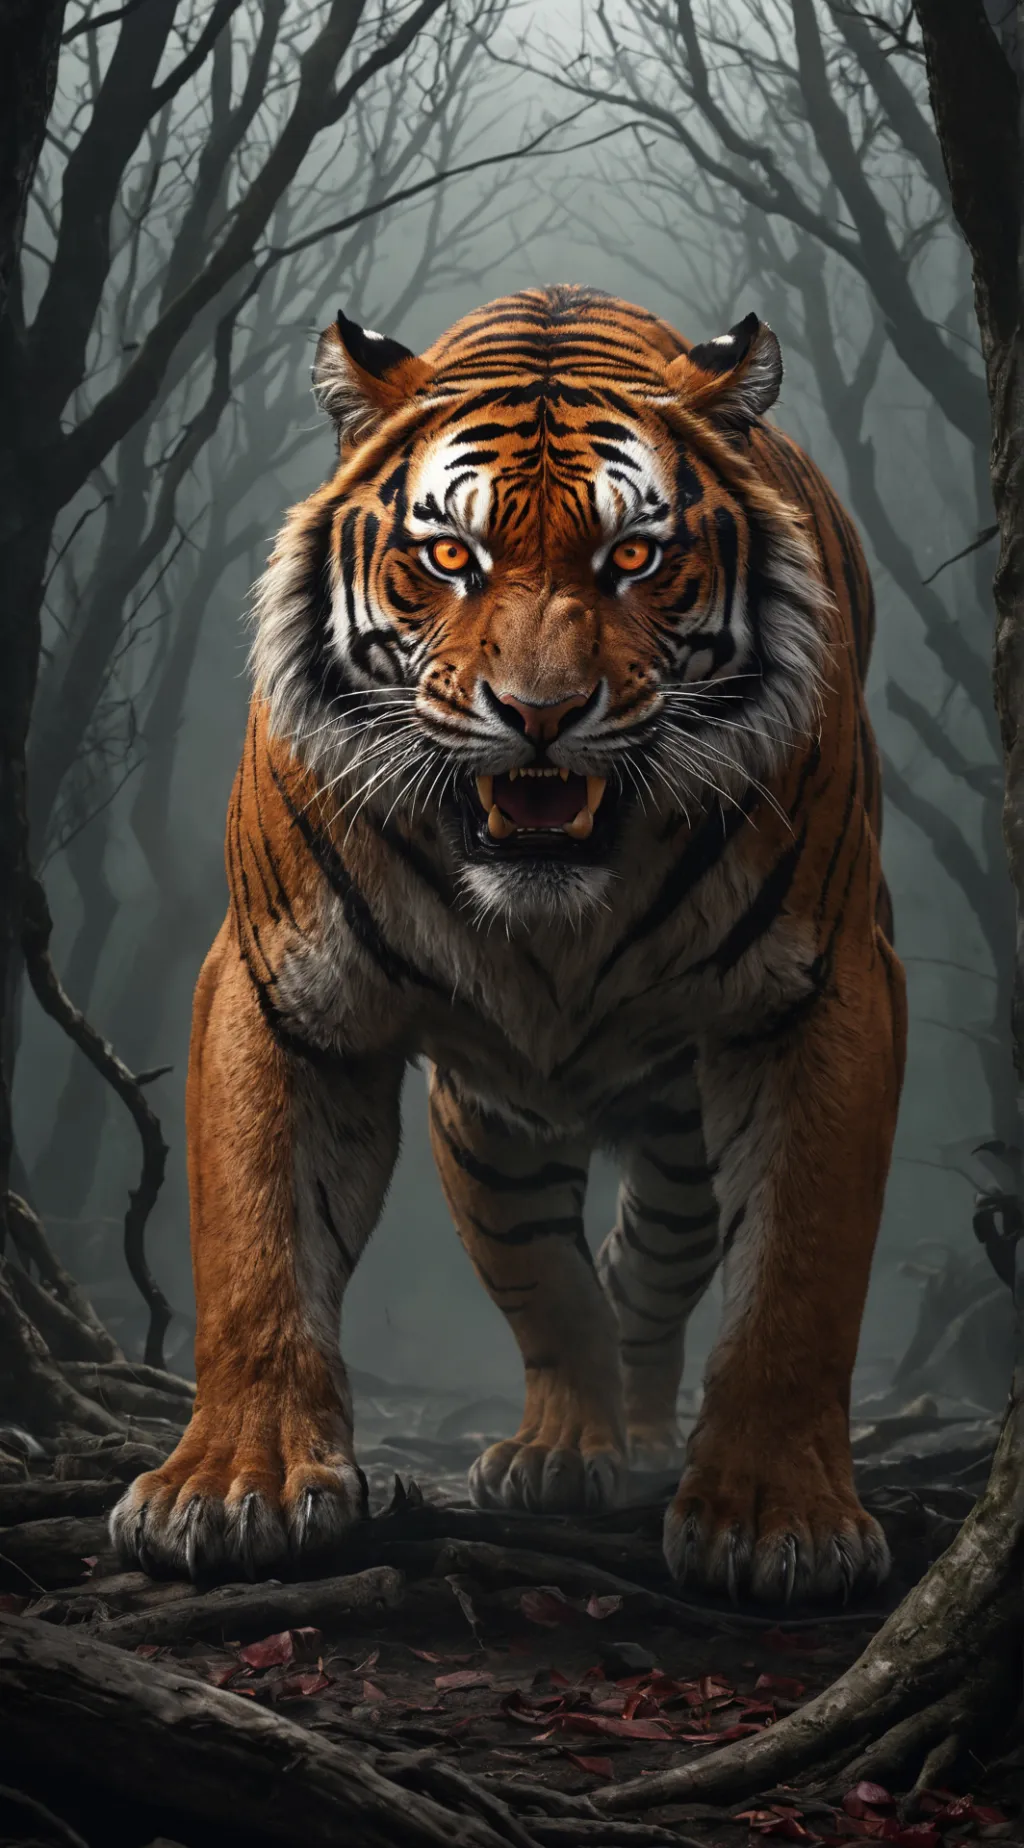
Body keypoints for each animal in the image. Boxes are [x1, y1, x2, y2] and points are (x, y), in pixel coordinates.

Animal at [111, 285, 906, 1604]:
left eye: (634, 557)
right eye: (450, 558)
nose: (539, 715)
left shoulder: (823, 990)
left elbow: (800, 1274)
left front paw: (773, 1518)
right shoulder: (279, 990)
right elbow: (257, 1246)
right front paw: (234, 1486)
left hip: (676, 1132)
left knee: (648, 1266)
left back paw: (637, 1437)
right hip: (491, 1127)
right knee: (548, 1278)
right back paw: (565, 1449)